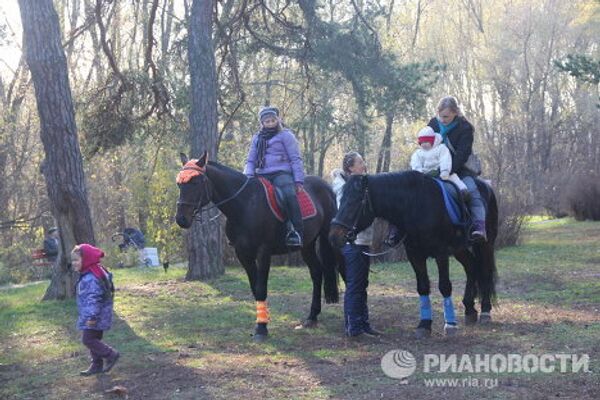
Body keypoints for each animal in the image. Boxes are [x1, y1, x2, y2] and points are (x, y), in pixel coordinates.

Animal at [175, 152, 342, 340]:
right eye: (179, 184)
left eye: (196, 183)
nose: (181, 219)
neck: (245, 204)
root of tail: (326, 186)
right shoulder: (243, 254)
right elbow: (255, 289)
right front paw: (262, 322)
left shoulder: (263, 252)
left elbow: (261, 288)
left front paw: (261, 328)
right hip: (307, 244)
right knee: (316, 272)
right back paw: (312, 316)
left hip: (325, 237)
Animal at [328, 171, 496, 338]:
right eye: (340, 200)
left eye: (354, 202)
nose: (334, 236)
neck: (416, 205)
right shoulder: (414, 255)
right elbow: (422, 287)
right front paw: (424, 324)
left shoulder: (441, 253)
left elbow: (444, 286)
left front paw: (450, 324)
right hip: (459, 249)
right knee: (471, 267)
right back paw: (469, 309)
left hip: (485, 245)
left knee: (485, 272)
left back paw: (485, 311)